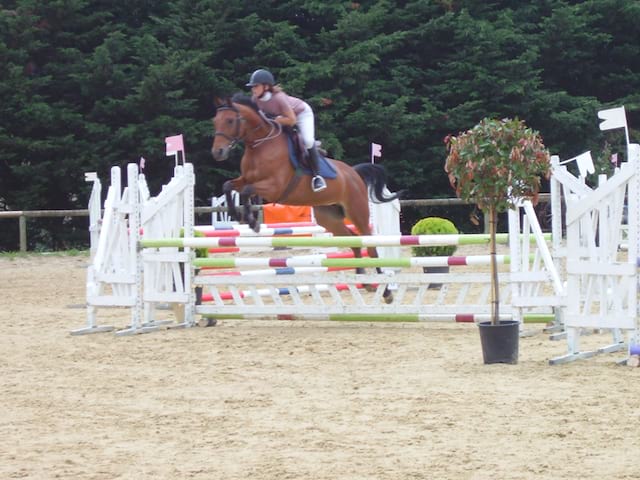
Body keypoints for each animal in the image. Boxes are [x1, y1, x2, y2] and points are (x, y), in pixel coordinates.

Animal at [212, 95, 402, 302]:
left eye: (230, 120)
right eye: (215, 121)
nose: (217, 152)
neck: (260, 145)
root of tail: (354, 173)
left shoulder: (274, 187)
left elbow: (247, 191)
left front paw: (251, 222)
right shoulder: (246, 179)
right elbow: (229, 186)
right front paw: (236, 214)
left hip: (357, 211)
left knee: (370, 244)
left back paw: (386, 292)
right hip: (328, 217)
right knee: (353, 240)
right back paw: (365, 282)